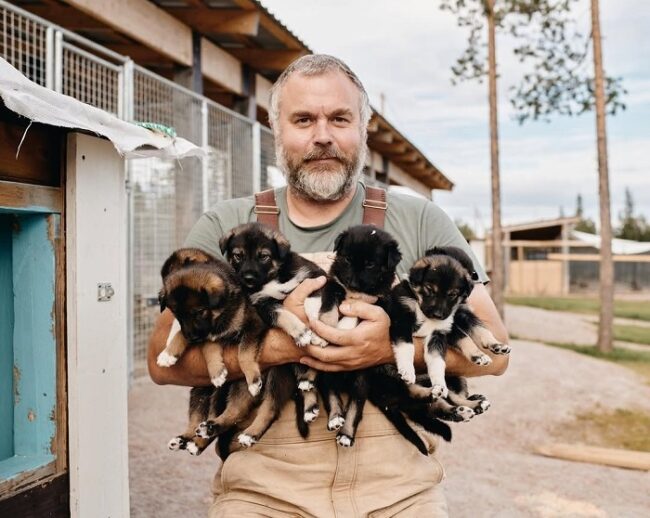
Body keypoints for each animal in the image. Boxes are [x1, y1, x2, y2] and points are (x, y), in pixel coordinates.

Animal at [219, 222, 330, 426]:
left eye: (264, 256)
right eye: (238, 255)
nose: (247, 279)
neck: (271, 278)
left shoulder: (314, 276)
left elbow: (313, 302)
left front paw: (316, 332)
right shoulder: (263, 305)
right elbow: (282, 314)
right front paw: (301, 332)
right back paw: (309, 406)